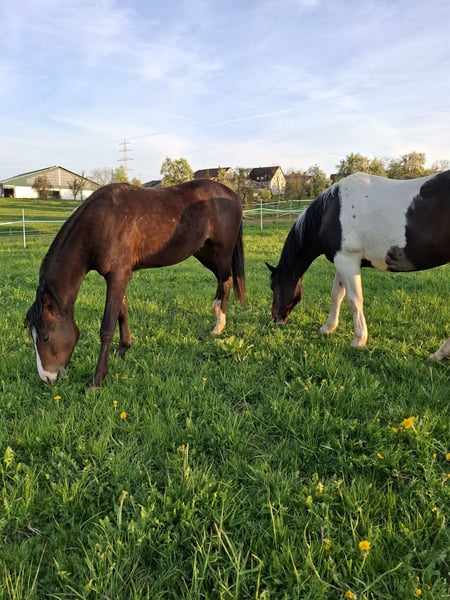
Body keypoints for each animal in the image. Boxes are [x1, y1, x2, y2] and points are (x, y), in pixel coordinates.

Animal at [26, 179, 245, 387]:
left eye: (45, 337)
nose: (46, 378)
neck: (100, 223)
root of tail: (232, 195)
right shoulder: (119, 276)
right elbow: (122, 313)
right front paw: (122, 351)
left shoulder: (118, 276)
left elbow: (107, 327)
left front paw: (97, 380)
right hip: (204, 252)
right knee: (221, 280)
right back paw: (216, 312)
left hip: (221, 253)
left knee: (226, 281)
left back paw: (219, 325)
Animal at [267, 170, 450, 360]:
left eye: (273, 286)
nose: (275, 318)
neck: (330, 211)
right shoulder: (341, 261)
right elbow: (337, 295)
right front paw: (328, 327)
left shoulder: (347, 261)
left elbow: (354, 300)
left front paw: (359, 339)